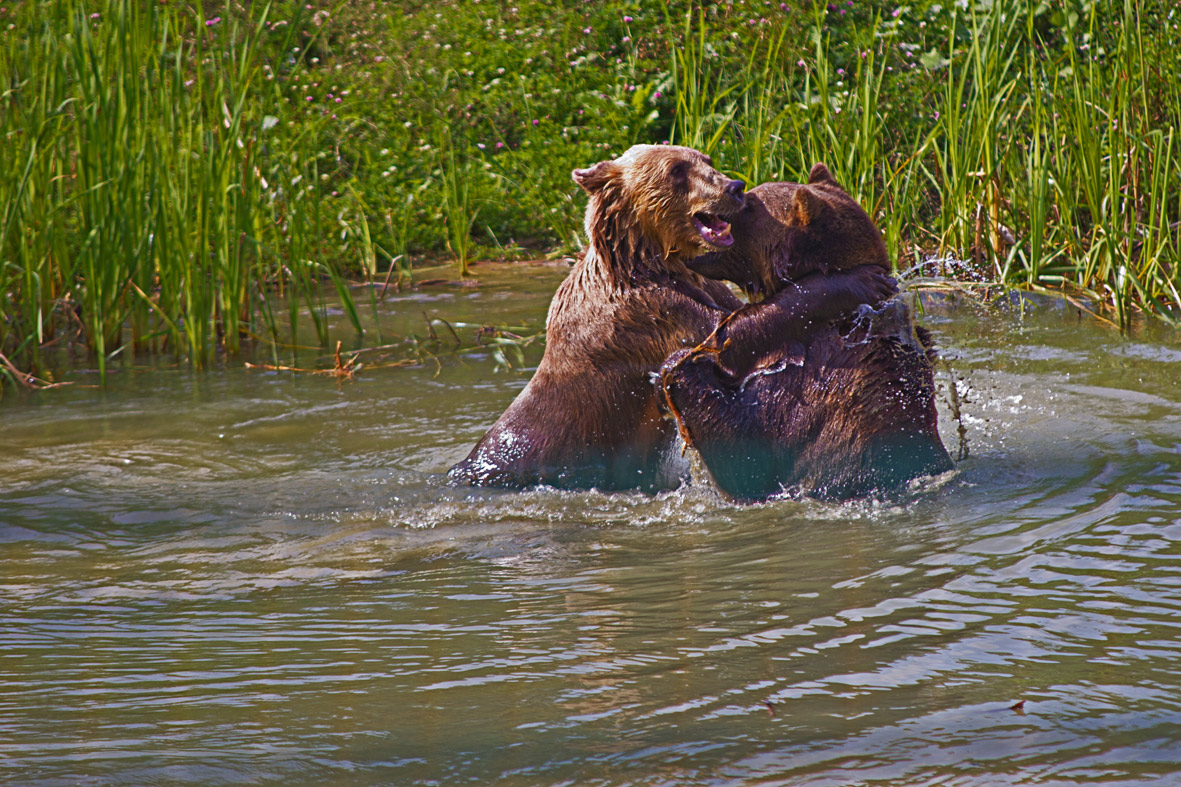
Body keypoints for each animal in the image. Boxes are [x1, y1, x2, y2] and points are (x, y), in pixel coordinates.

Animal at [446, 146, 888, 486]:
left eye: (705, 159)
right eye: (676, 169)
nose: (734, 187)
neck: (647, 260)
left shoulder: (693, 286)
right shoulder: (644, 314)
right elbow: (722, 339)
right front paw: (861, 279)